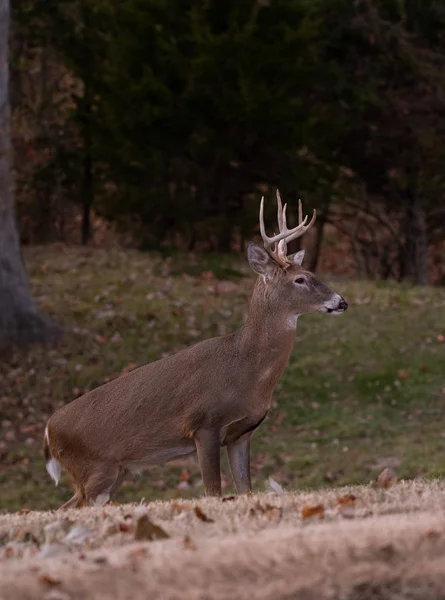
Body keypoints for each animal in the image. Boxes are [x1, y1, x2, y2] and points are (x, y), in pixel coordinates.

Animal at [43, 191, 346, 506]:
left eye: (309, 273)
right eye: (300, 279)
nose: (341, 301)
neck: (247, 371)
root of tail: (48, 432)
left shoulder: (241, 433)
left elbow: (245, 489)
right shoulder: (203, 424)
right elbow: (213, 491)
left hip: (116, 472)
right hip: (94, 469)